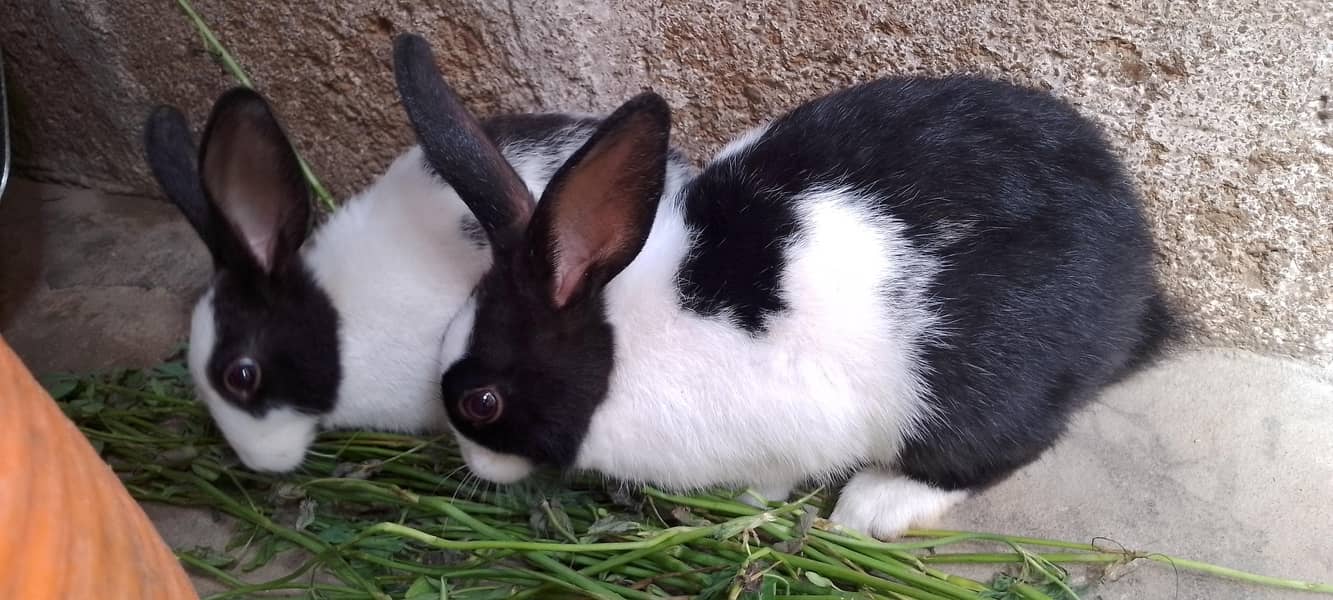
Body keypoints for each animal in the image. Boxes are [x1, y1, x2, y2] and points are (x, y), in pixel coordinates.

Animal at [393, 33, 1176, 538]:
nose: (472, 464)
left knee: (1001, 447)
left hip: (980, 385)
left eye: (482, 402)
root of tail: (1135, 265)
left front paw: (747, 506)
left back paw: (873, 506)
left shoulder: (785, 434)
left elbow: (770, 478)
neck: (620, 351)